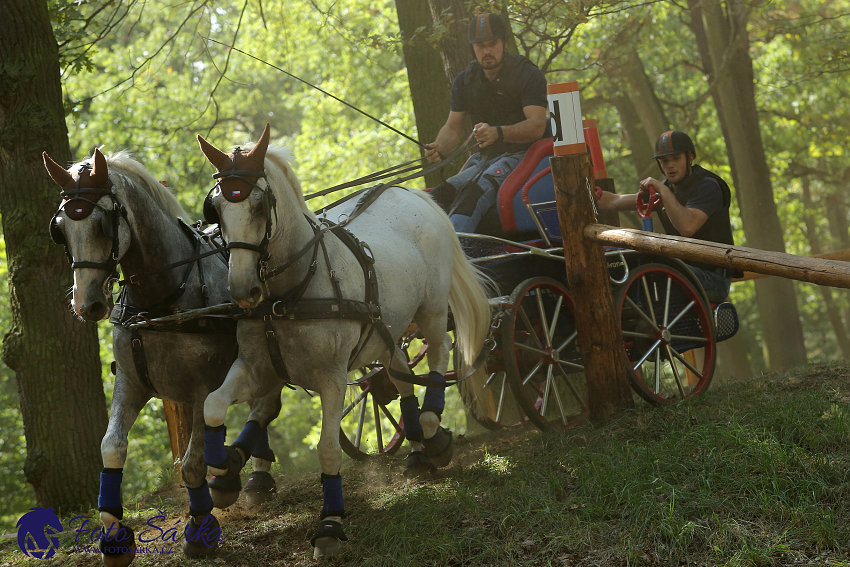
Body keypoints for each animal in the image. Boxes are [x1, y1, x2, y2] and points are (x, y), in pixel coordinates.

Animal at [44, 151, 284, 567]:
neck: (161, 301)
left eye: (103, 224)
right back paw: (250, 472)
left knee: (267, 405)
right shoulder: (130, 382)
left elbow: (192, 464)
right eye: (60, 229)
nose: (87, 304)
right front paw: (115, 536)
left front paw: (201, 528)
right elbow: (112, 447)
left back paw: (246, 475)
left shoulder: (204, 387)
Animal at [198, 125, 490, 560]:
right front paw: (223, 473)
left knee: (437, 357)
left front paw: (330, 523)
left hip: (434, 309)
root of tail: (407, 192)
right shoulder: (256, 368)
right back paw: (418, 452)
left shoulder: (332, 378)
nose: (241, 290)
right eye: (215, 208)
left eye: (259, 205)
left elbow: (327, 449)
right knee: (400, 375)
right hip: (388, 328)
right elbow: (213, 405)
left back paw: (432, 430)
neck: (290, 294)